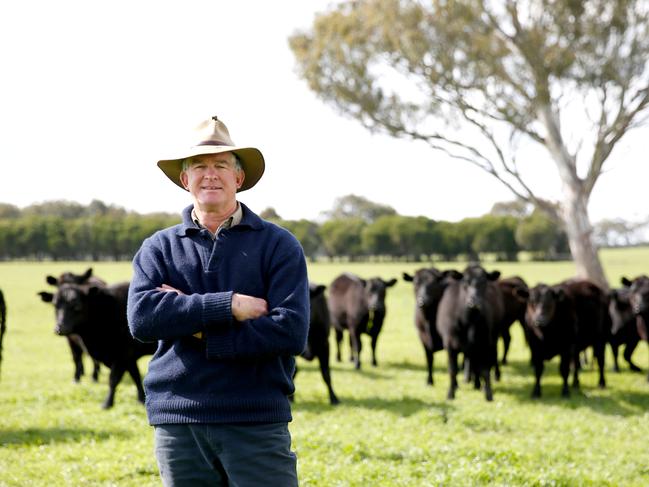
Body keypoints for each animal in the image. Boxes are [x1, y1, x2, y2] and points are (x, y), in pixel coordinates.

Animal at [436, 264, 502, 402]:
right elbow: (453, 370)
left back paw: (477, 384)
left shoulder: (485, 343)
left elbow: (485, 370)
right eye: (465, 282)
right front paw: (450, 393)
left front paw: (488, 394)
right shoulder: (450, 345)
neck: (469, 321)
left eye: (484, 282)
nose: (474, 301)